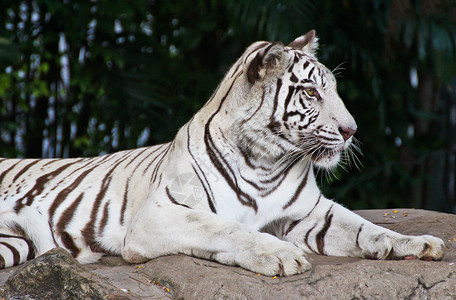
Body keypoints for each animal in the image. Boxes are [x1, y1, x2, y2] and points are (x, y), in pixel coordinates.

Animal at [0, 31, 442, 276]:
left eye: (331, 89)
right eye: (311, 93)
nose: (351, 131)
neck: (267, 161)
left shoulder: (310, 213)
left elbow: (368, 228)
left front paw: (418, 243)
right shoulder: (159, 215)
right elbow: (225, 227)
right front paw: (281, 255)